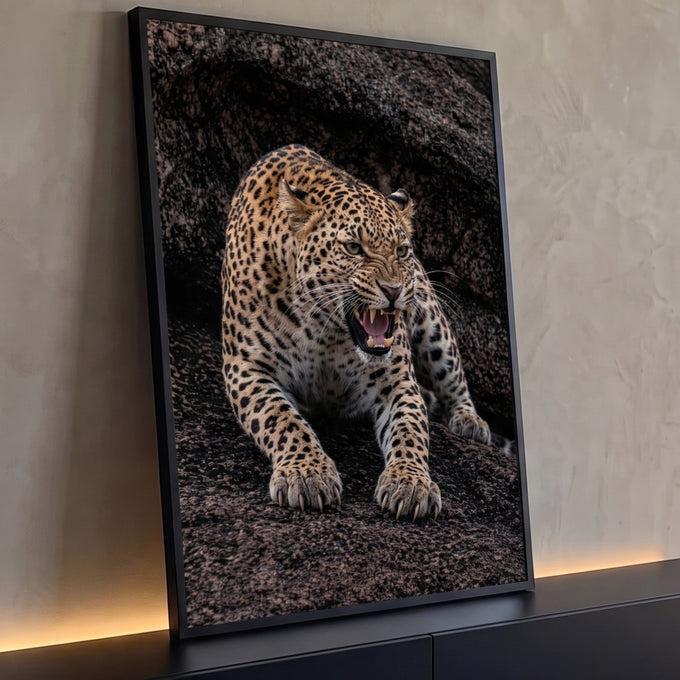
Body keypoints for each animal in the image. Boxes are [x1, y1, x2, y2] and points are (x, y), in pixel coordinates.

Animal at [221, 144, 491, 521]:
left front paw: (410, 483)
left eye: (402, 251)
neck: (323, 331)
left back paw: (468, 420)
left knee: (453, 377)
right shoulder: (246, 367)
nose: (393, 289)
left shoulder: (398, 381)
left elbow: (410, 431)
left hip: (433, 325)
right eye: (353, 248)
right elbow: (282, 419)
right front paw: (308, 474)